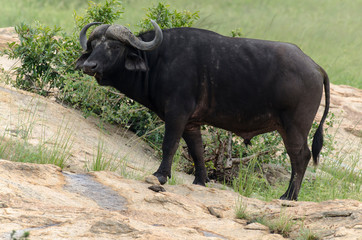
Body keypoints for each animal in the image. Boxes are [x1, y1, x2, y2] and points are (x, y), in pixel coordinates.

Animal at [77, 20, 330, 201]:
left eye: (113, 46)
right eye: (94, 46)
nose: (89, 66)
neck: (157, 60)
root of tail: (316, 67)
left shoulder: (177, 114)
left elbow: (170, 144)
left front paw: (160, 175)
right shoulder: (192, 123)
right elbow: (197, 150)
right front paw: (200, 181)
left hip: (294, 126)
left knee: (300, 156)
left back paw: (289, 196)